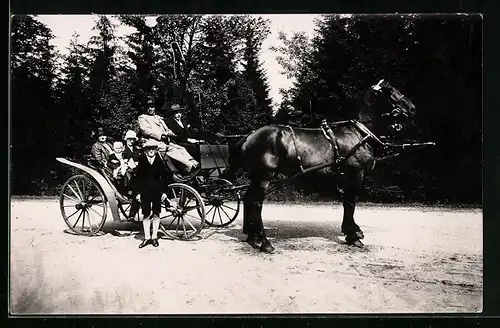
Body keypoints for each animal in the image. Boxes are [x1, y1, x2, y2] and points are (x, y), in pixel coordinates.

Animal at [228, 79, 418, 254]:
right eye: (389, 90)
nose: (412, 108)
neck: (358, 133)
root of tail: (250, 136)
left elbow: (347, 203)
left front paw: (352, 231)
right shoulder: (356, 173)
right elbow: (351, 203)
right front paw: (353, 237)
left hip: (256, 177)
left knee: (248, 199)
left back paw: (252, 236)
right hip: (263, 177)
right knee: (256, 203)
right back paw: (265, 242)